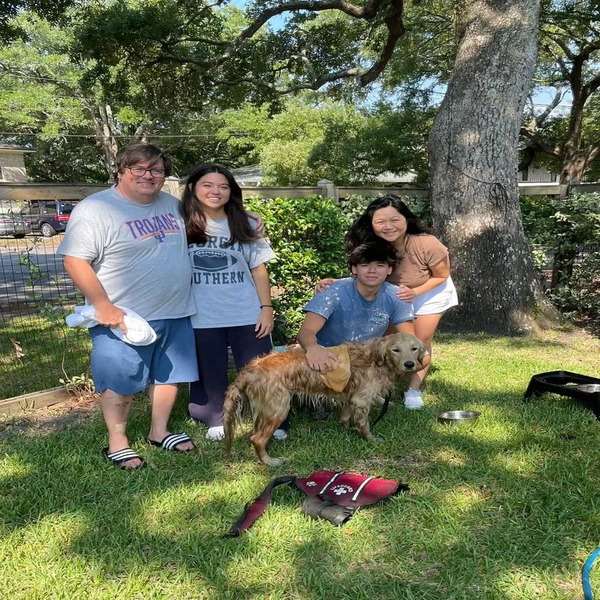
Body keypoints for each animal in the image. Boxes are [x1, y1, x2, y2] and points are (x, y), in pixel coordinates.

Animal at [224, 332, 426, 468]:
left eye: (414, 348)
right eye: (396, 350)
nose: (410, 364)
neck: (377, 359)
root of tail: (251, 368)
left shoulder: (350, 397)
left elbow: (345, 417)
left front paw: (347, 429)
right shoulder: (361, 400)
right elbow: (365, 426)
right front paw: (372, 440)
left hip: (265, 410)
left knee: (255, 434)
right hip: (278, 409)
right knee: (257, 439)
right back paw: (269, 461)